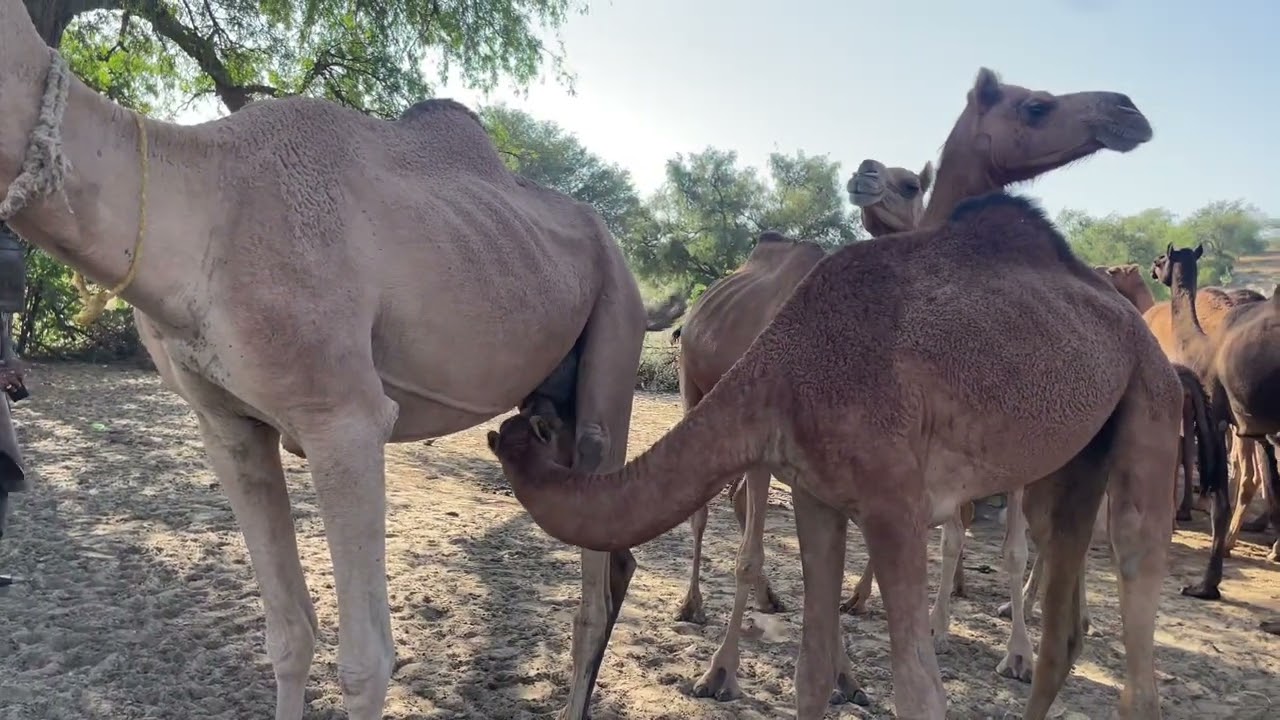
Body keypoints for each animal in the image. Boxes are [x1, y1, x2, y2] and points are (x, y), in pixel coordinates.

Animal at [0, 3, 686, 717]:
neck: (203, 205)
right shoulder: (228, 425)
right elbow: (288, 634)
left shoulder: (343, 420)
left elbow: (365, 661)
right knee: (615, 555)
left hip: (614, 318)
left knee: (595, 570)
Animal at [1152, 246, 1280, 582]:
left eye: (1162, 259)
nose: (1153, 268)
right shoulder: (1257, 428)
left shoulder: (1216, 414)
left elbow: (1221, 493)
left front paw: (1207, 582)